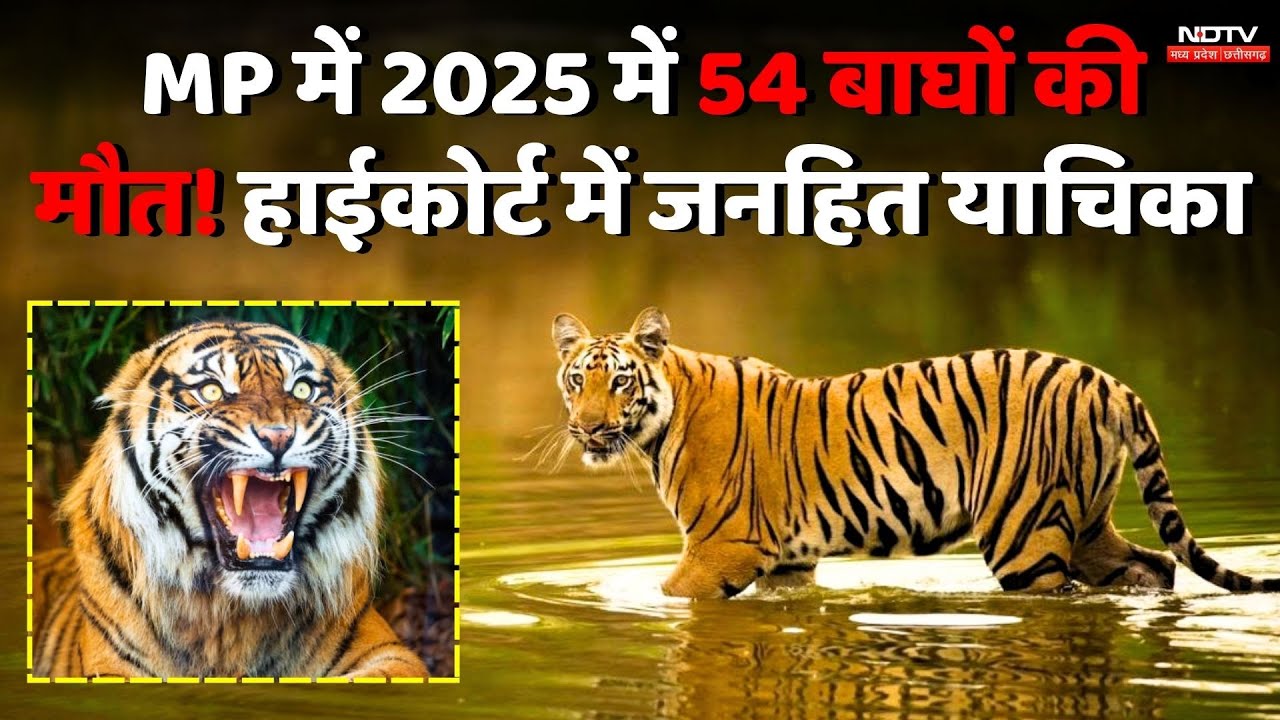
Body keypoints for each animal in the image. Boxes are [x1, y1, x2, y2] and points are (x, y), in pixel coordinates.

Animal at [551, 307, 1280, 599]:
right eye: (576, 380)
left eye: (619, 381)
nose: (587, 430)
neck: (660, 424)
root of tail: (1110, 383)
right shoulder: (787, 561)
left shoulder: (722, 548)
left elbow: (667, 596)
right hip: (1086, 523)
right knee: (1156, 566)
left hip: (1025, 533)